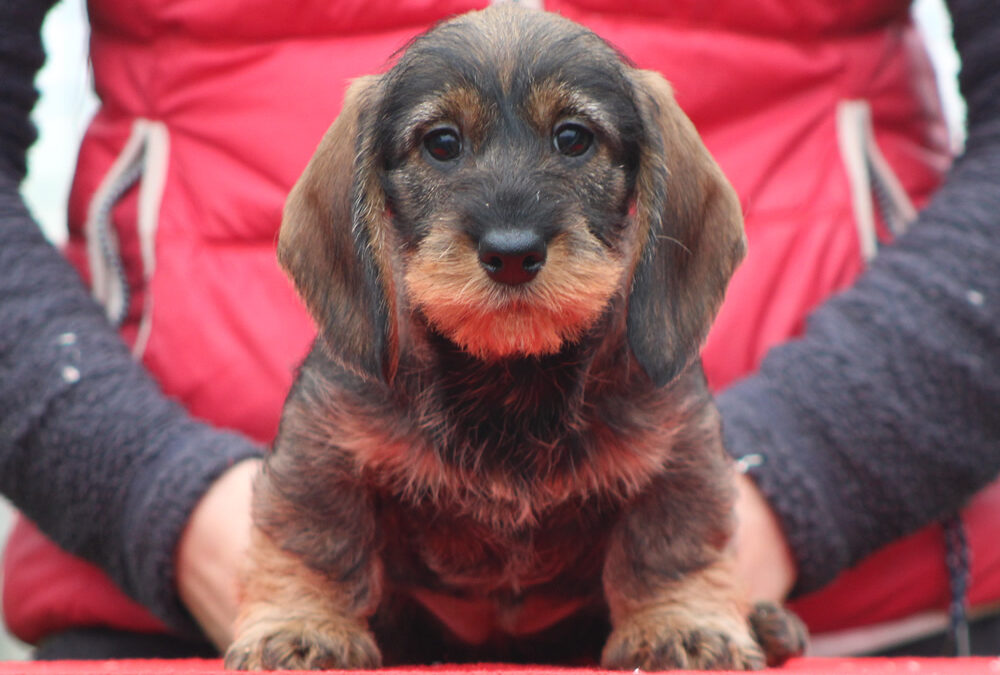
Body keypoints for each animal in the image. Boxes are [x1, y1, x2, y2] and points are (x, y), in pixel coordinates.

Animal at [225, 3, 804, 672]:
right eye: (442, 143)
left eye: (573, 138)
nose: (510, 253)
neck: (510, 375)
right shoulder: (324, 450)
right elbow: (316, 541)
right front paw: (302, 626)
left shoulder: (677, 454)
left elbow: (671, 546)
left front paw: (683, 625)